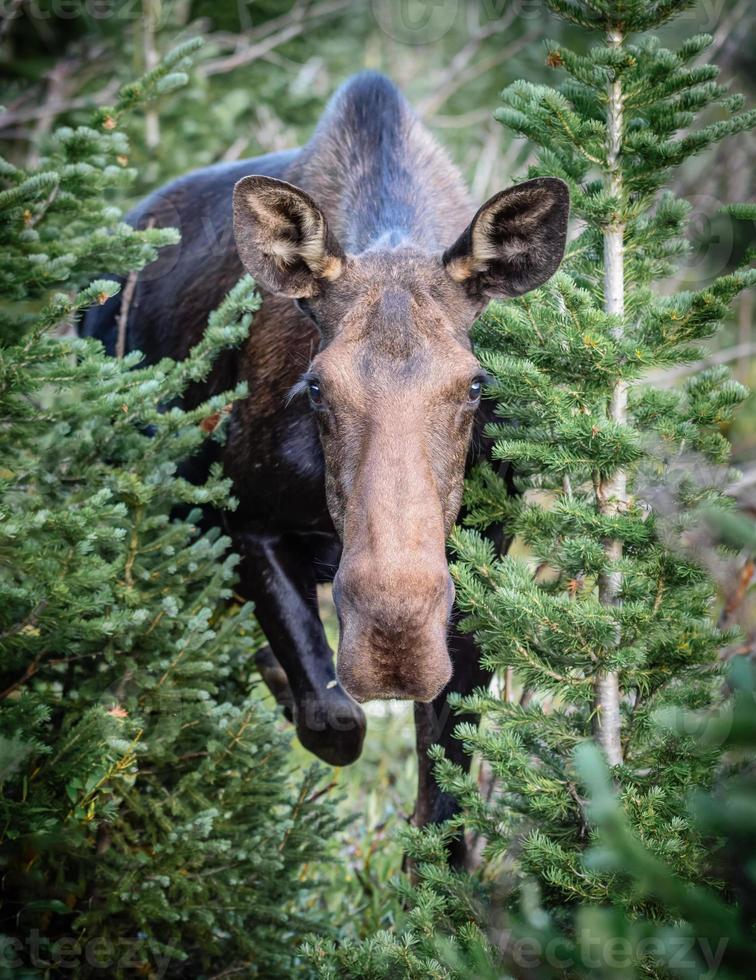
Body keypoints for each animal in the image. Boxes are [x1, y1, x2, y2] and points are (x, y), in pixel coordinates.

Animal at [84, 71, 568, 864]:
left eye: (475, 384)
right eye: (316, 386)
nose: (395, 646)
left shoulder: (482, 563)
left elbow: (445, 810)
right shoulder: (247, 523)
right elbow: (335, 720)